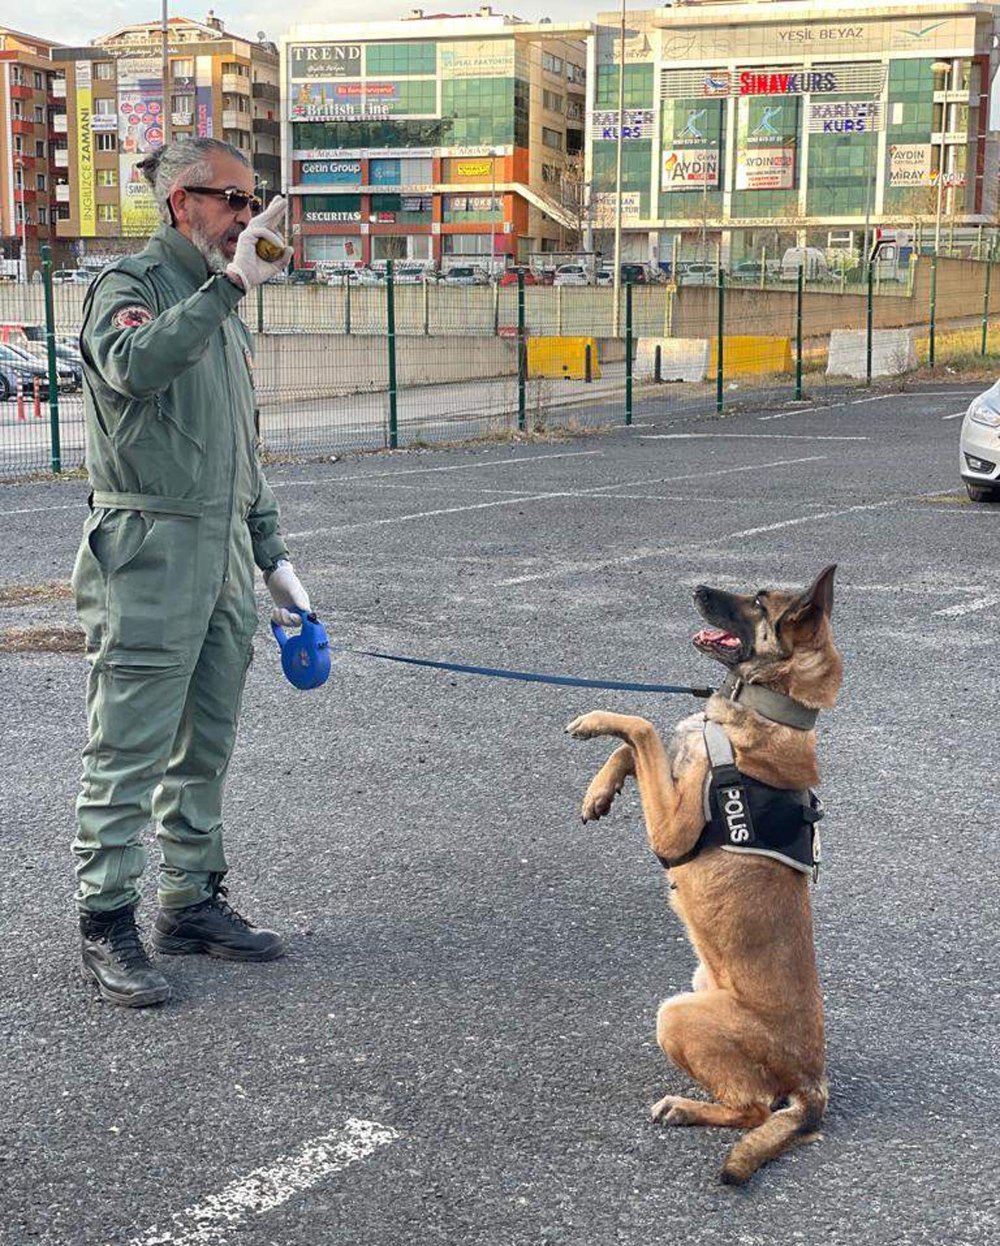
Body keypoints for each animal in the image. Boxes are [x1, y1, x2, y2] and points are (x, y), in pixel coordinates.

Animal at [567, 570, 841, 1181]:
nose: (697, 588)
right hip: (696, 985)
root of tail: (814, 1085)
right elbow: (639, 749)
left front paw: (596, 722)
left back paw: (685, 1108)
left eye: (758, 602)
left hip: (676, 1015)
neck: (767, 705)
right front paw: (599, 790)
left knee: (752, 1109)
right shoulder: (670, 783)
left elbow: (642, 728)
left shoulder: (672, 833)